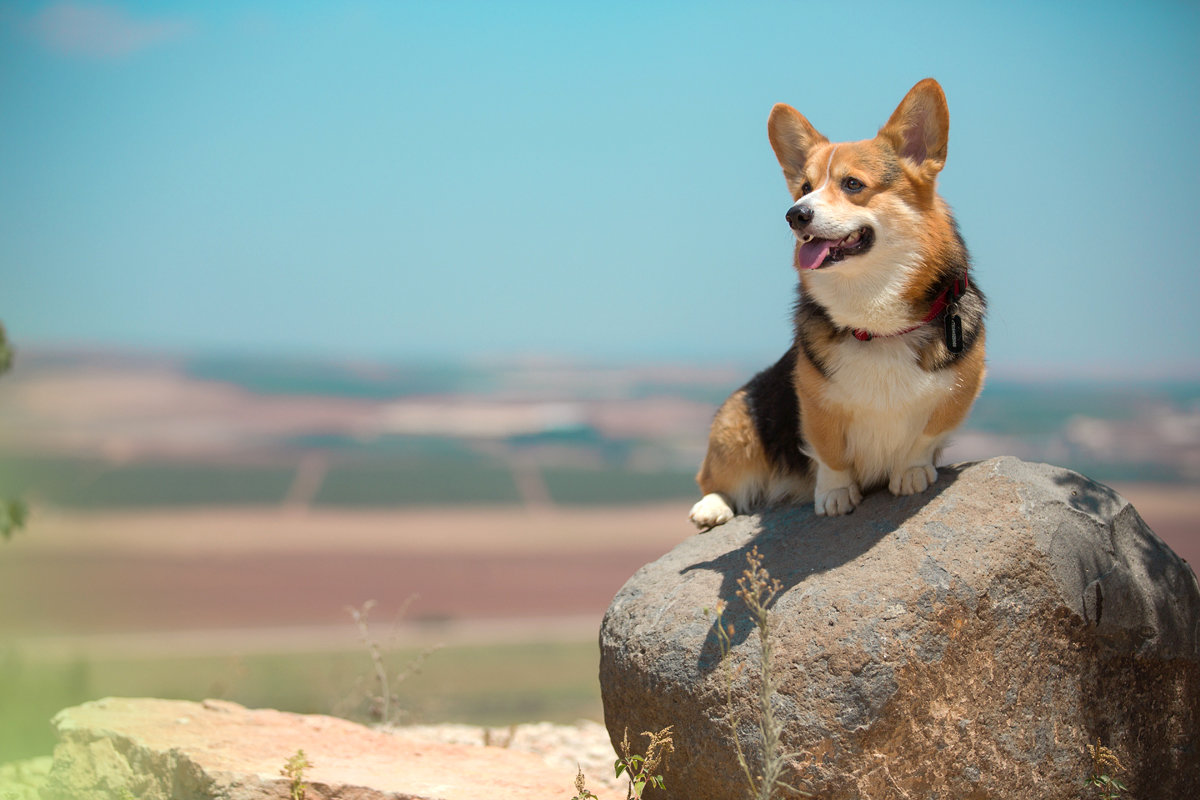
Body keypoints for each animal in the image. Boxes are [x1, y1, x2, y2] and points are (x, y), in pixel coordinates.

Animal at [691, 79, 988, 532]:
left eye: (852, 184)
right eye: (804, 187)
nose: (794, 215)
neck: (876, 322)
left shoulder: (962, 388)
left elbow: (927, 434)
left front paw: (912, 472)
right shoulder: (814, 404)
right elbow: (830, 452)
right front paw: (835, 495)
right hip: (737, 424)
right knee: (715, 478)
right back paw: (712, 507)